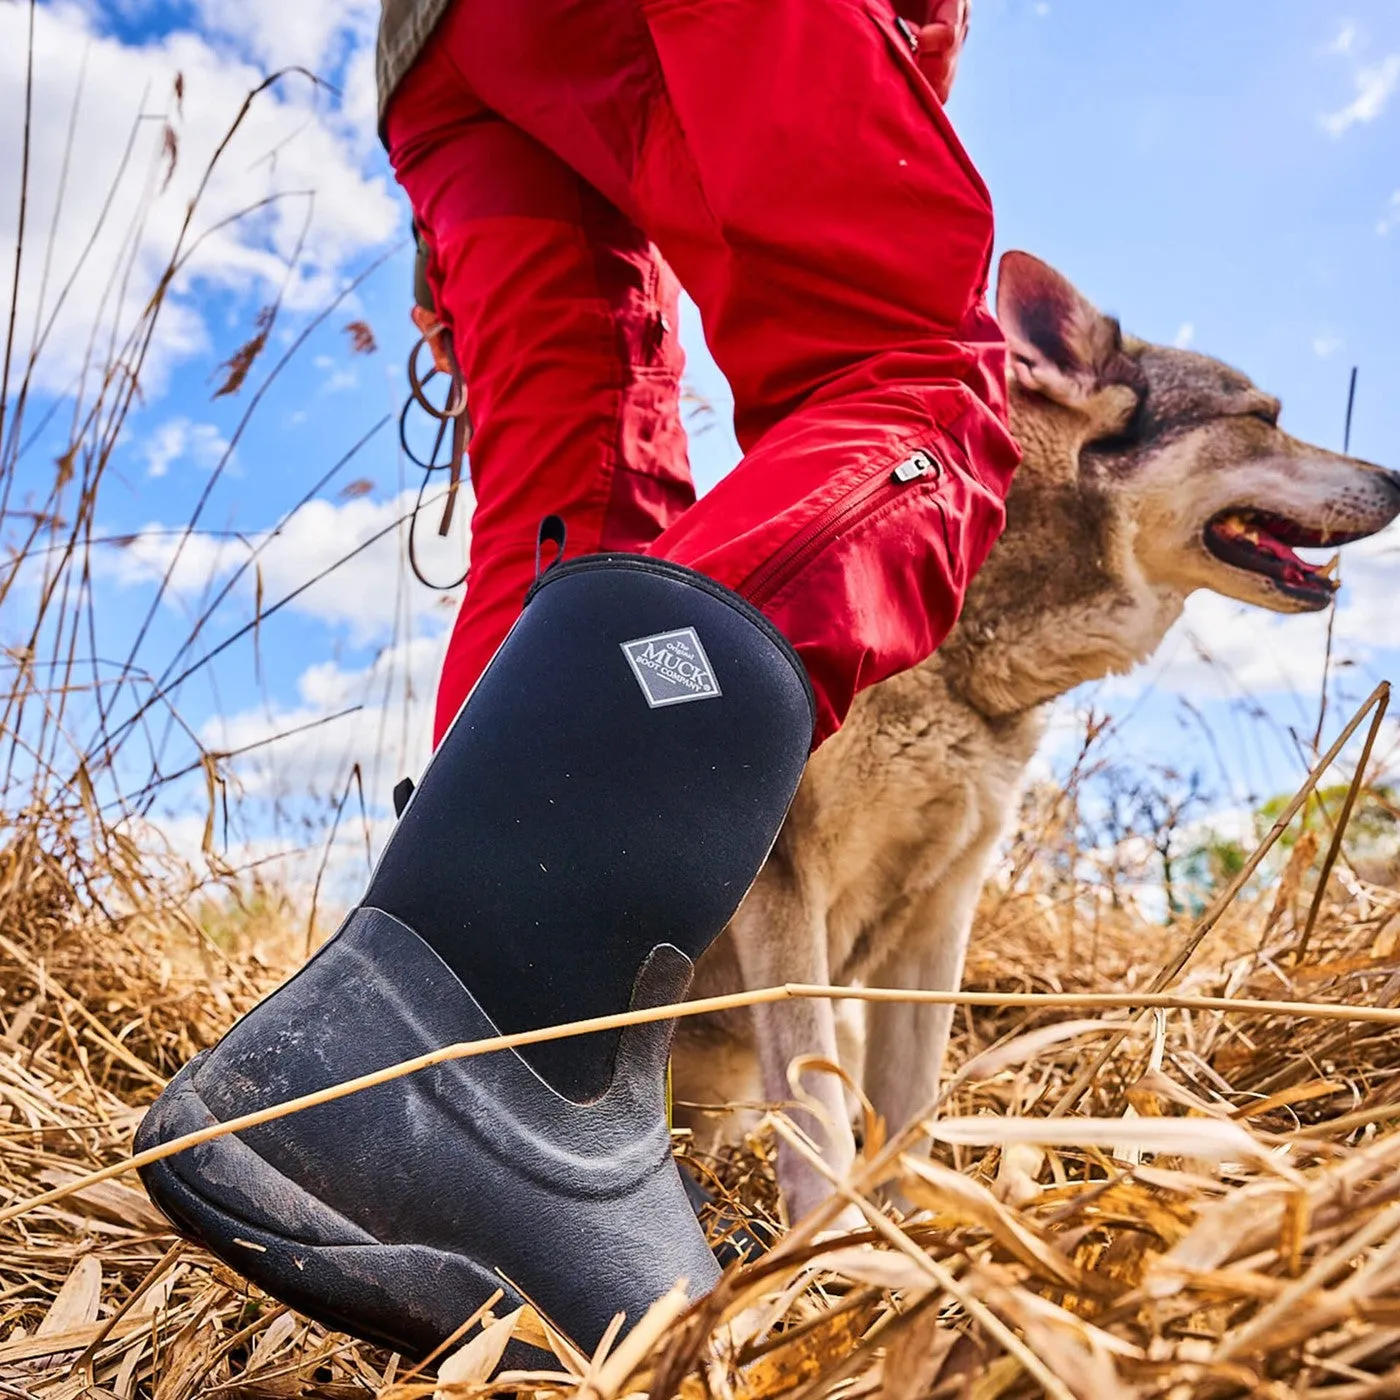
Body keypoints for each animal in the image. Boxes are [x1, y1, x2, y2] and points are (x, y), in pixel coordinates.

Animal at [674, 254, 1400, 1226]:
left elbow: (909, 1105)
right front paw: (835, 1237)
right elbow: (818, 1103)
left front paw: (914, 1225)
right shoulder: (788, 890)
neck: (963, 662)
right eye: (1262, 419)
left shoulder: (939, 909)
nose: (1399, 478)